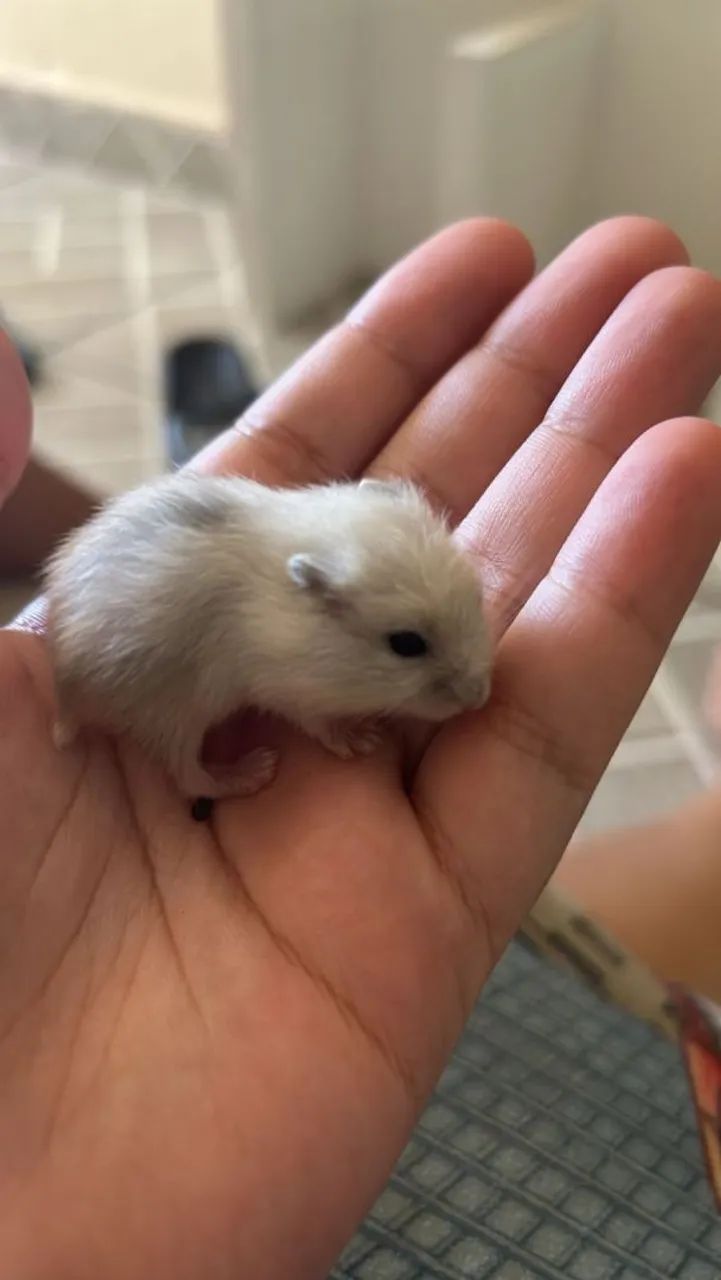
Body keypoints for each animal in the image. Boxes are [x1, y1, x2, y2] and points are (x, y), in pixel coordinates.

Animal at [44, 473, 492, 800]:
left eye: (478, 593)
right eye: (406, 644)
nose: (481, 698)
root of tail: (67, 692)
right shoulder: (289, 689)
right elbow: (320, 724)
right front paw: (361, 741)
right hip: (171, 714)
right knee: (191, 778)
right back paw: (254, 772)